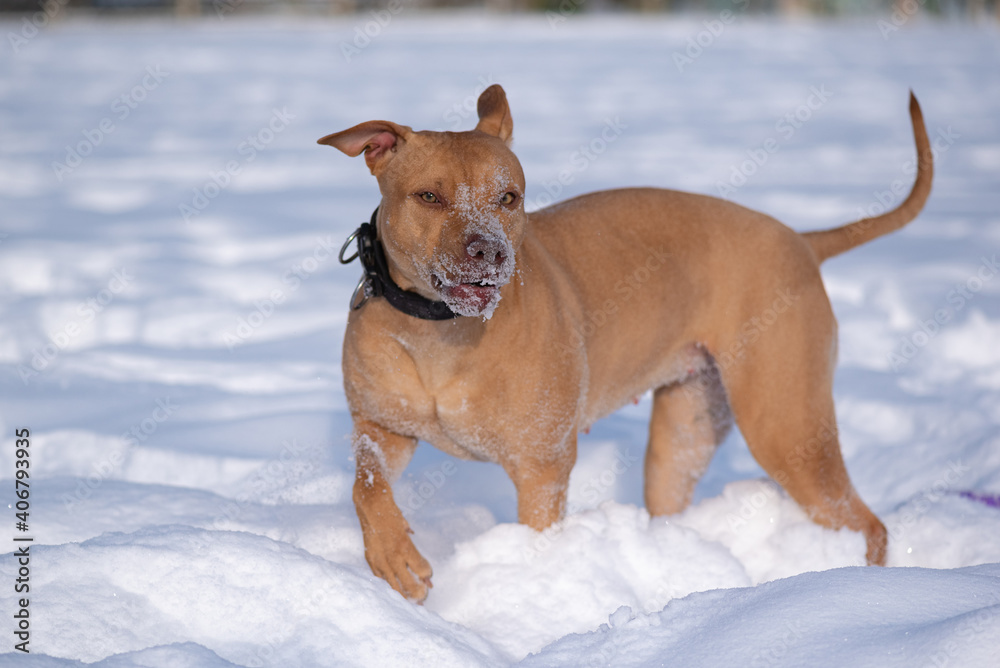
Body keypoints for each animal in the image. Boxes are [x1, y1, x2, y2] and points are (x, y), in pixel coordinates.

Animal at [322, 83, 936, 600]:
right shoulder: (382, 427)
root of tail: (803, 242)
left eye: (509, 197)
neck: (437, 330)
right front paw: (392, 555)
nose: (489, 251)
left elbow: (538, 533)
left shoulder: (542, 467)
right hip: (684, 431)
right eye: (428, 196)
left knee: (867, 523)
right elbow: (367, 486)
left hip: (788, 428)